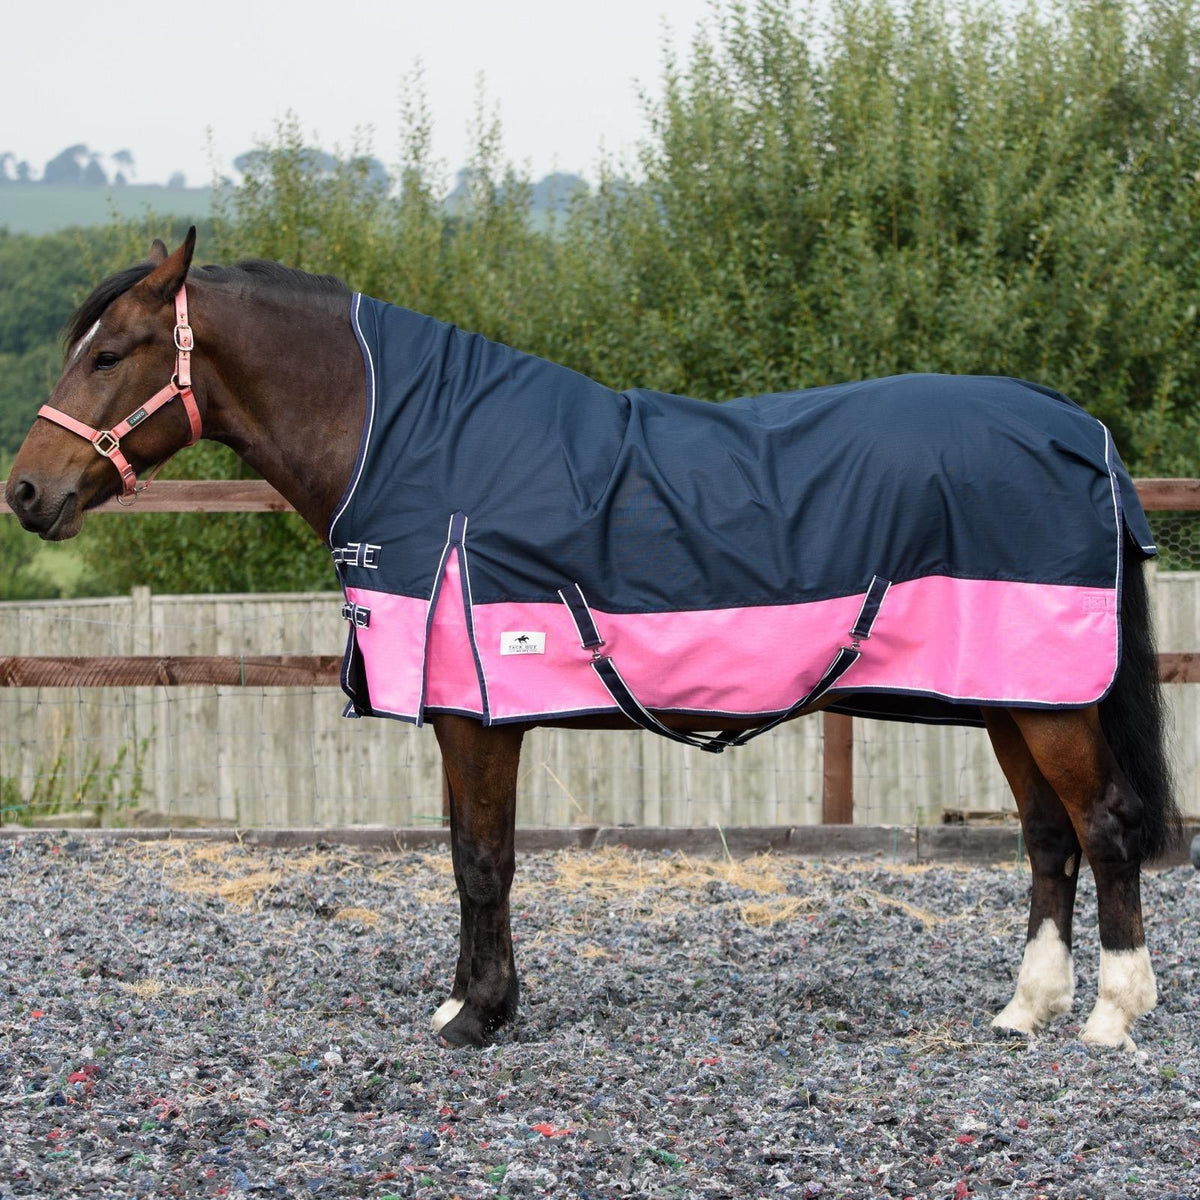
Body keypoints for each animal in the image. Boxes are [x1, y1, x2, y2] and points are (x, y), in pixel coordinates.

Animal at [6, 229, 1180, 1051]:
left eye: (111, 355)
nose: (26, 492)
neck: (425, 444)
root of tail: (1075, 427)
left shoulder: (482, 716)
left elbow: (482, 860)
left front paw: (480, 1016)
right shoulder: (461, 713)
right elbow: (465, 856)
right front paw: (468, 1002)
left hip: (1048, 700)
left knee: (1106, 825)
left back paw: (1111, 1015)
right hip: (1011, 693)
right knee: (1047, 838)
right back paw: (1025, 1008)